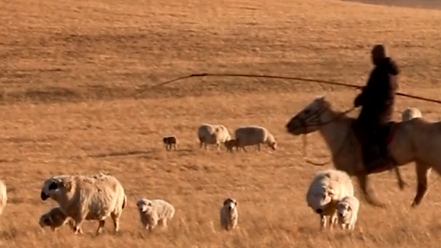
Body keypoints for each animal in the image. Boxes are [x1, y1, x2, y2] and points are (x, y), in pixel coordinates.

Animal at [284, 96, 438, 208]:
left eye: (307, 111)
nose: (289, 125)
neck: (342, 135)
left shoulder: (351, 173)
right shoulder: (361, 174)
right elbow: (366, 194)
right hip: (422, 163)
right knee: (422, 188)